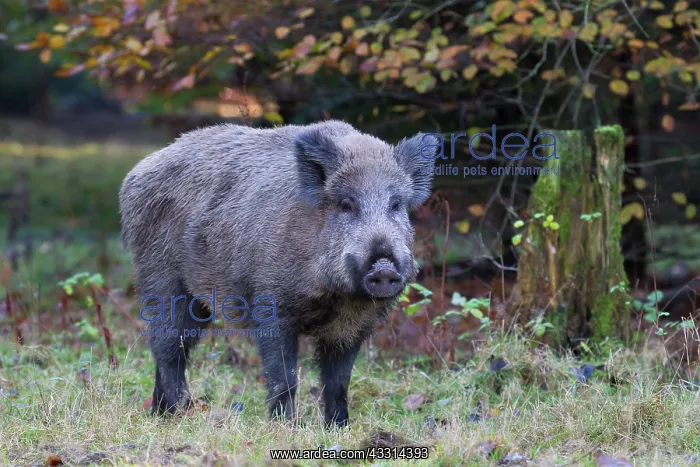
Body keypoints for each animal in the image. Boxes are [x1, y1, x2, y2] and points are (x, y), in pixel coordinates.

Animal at [119, 120, 437, 426]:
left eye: (396, 204)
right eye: (347, 204)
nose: (383, 267)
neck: (336, 296)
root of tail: (135, 175)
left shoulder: (353, 324)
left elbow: (338, 381)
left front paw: (339, 428)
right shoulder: (271, 305)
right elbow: (283, 375)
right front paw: (285, 427)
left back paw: (161, 414)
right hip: (162, 279)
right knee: (168, 348)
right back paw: (178, 416)